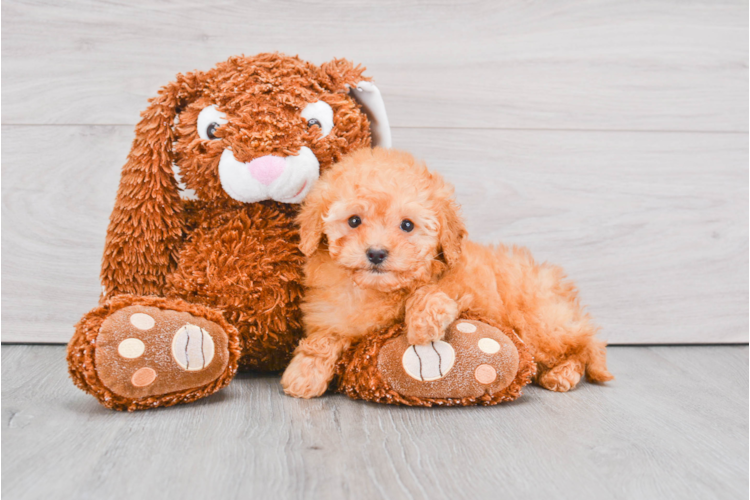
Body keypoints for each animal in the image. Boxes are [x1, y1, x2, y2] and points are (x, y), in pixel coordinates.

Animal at [282, 147, 612, 398]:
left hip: (541, 325)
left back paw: (563, 374)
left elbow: (429, 293)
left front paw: (422, 326)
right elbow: (323, 340)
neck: (374, 289)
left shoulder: (463, 292)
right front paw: (303, 375)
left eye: (407, 225)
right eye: (353, 221)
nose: (376, 253)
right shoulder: (334, 315)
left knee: (585, 347)